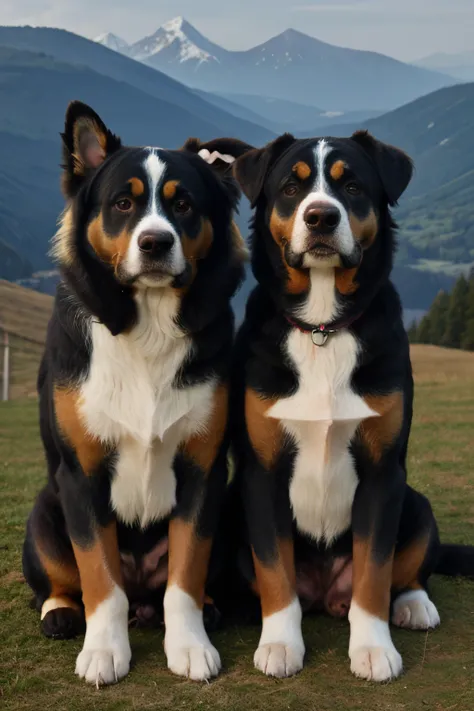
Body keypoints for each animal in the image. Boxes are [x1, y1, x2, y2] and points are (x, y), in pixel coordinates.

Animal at [230, 134, 474, 684]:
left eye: (353, 185)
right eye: (292, 186)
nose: (320, 216)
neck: (324, 328)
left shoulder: (384, 471)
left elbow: (375, 571)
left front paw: (373, 649)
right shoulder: (261, 471)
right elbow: (274, 569)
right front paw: (280, 644)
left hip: (416, 503)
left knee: (408, 571)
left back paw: (414, 605)